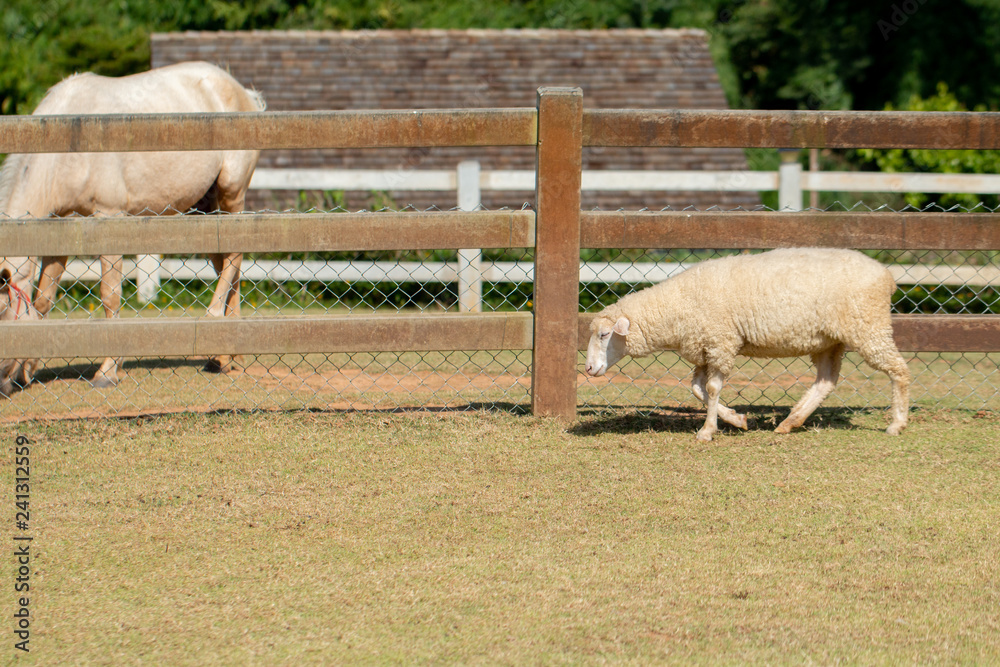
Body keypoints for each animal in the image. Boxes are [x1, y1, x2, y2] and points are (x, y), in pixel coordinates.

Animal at [584, 248, 910, 442]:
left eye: (604, 335)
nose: (588, 369)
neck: (676, 307)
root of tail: (887, 276)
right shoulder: (706, 348)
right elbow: (698, 389)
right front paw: (737, 420)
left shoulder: (721, 342)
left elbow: (712, 388)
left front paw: (707, 431)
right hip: (831, 340)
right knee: (826, 381)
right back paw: (791, 421)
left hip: (868, 327)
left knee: (899, 370)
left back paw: (897, 423)